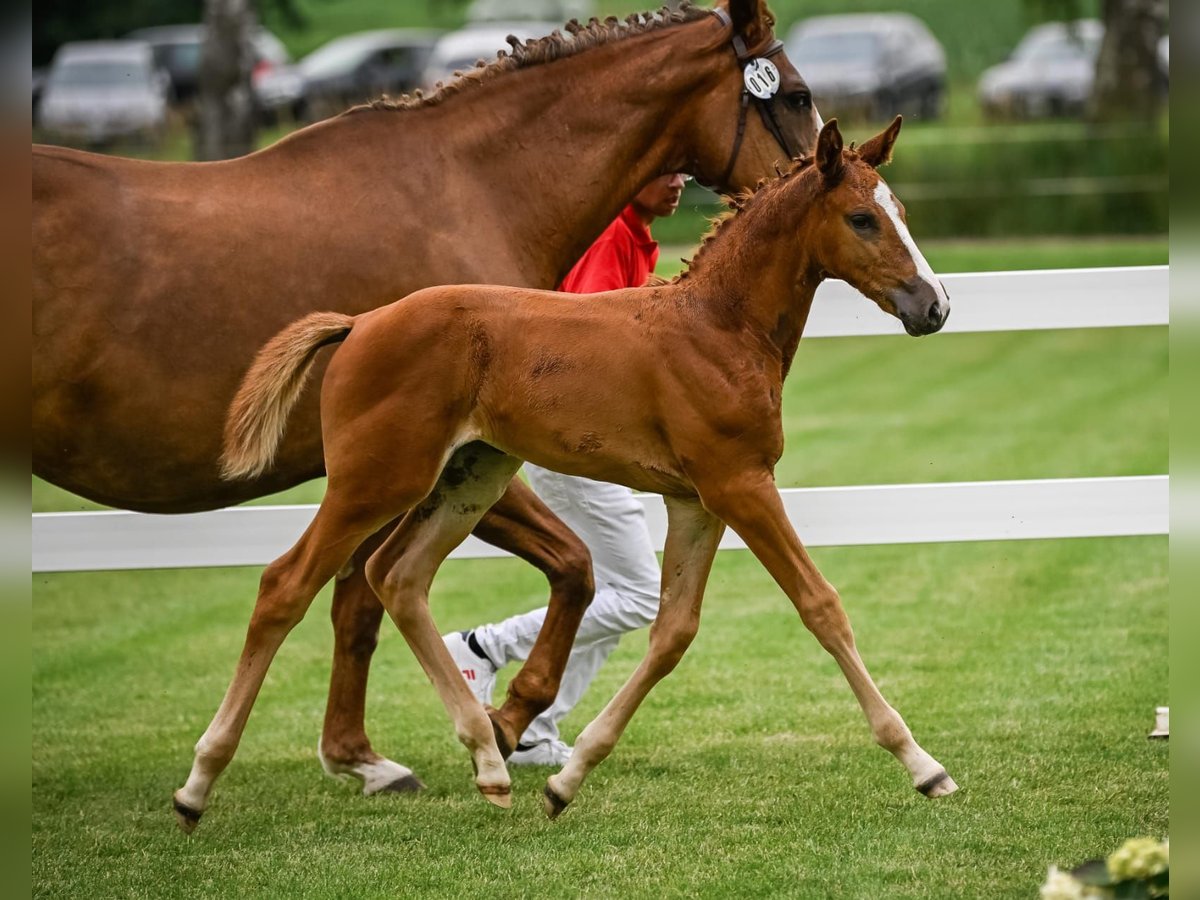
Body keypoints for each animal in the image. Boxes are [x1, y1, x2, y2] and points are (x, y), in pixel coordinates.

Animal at [184, 116, 955, 830]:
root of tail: (360, 323)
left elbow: (673, 632)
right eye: (861, 218)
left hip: (469, 478)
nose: (934, 305)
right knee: (286, 585)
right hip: (373, 481)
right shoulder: (741, 483)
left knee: (396, 577)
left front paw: (566, 781)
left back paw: (490, 762)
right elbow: (820, 605)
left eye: (900, 210)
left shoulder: (697, 501)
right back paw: (197, 785)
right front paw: (923, 765)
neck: (716, 328)